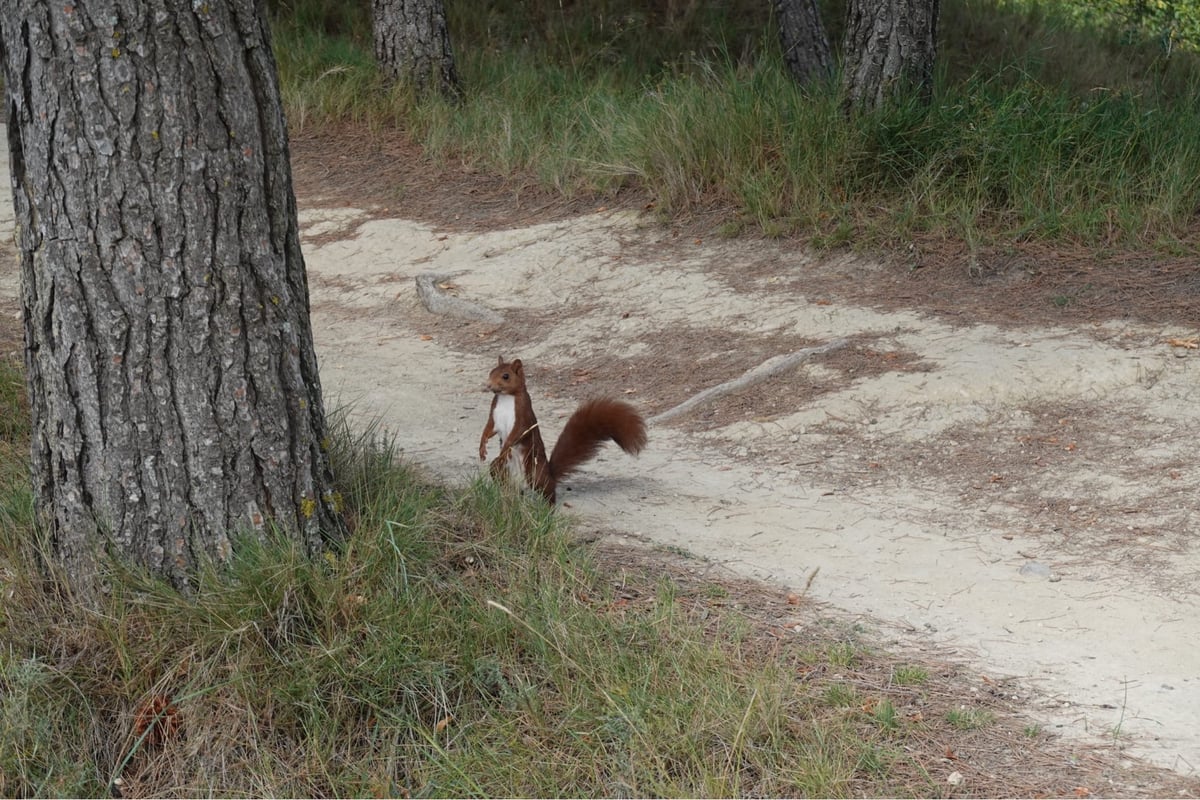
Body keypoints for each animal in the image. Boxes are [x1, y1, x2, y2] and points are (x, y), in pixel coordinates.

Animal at [479, 356, 647, 504]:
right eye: (491, 372)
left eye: (505, 376)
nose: (488, 385)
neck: (506, 397)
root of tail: (550, 474)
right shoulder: (494, 415)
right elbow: (488, 429)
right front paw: (482, 448)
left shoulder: (523, 415)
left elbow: (517, 433)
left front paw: (505, 447)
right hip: (503, 470)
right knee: (500, 473)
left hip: (535, 470)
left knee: (548, 491)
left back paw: (548, 509)